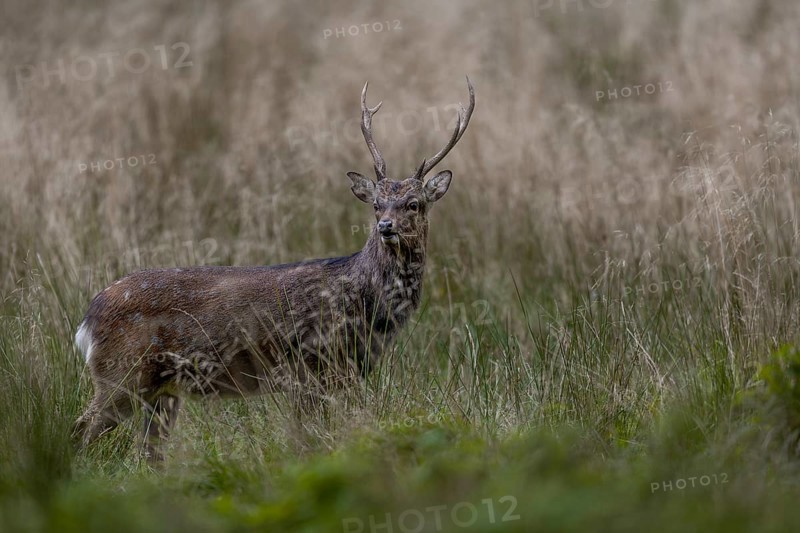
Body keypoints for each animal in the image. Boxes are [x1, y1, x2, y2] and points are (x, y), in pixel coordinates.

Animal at [73, 78, 475, 460]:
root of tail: (87, 320)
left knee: (147, 451)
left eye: (414, 204)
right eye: (376, 204)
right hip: (121, 373)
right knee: (82, 428)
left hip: (161, 388)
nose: (386, 227)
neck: (365, 303)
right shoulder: (310, 363)